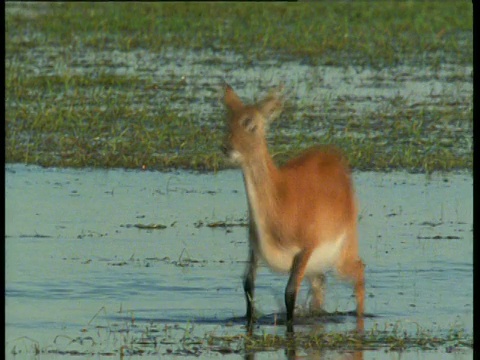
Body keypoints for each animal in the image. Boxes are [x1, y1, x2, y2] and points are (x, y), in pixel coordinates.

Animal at [221, 84, 364, 334]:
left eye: (251, 123)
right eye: (227, 122)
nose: (226, 148)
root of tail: (334, 156)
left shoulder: (305, 250)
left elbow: (289, 293)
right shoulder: (254, 250)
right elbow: (248, 286)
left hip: (342, 254)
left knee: (360, 271)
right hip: (318, 268)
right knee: (321, 288)